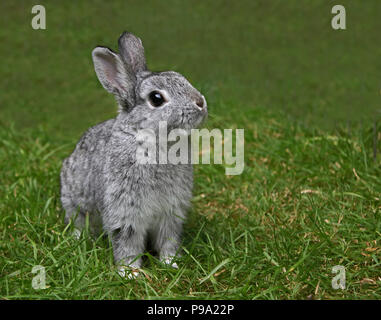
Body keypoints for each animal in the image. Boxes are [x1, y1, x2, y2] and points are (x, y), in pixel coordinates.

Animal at [59, 30, 208, 278]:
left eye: (180, 77)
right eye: (156, 98)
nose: (200, 103)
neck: (151, 138)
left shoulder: (171, 212)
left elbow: (168, 240)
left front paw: (171, 263)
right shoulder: (125, 213)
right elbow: (127, 243)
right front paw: (130, 273)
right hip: (75, 202)